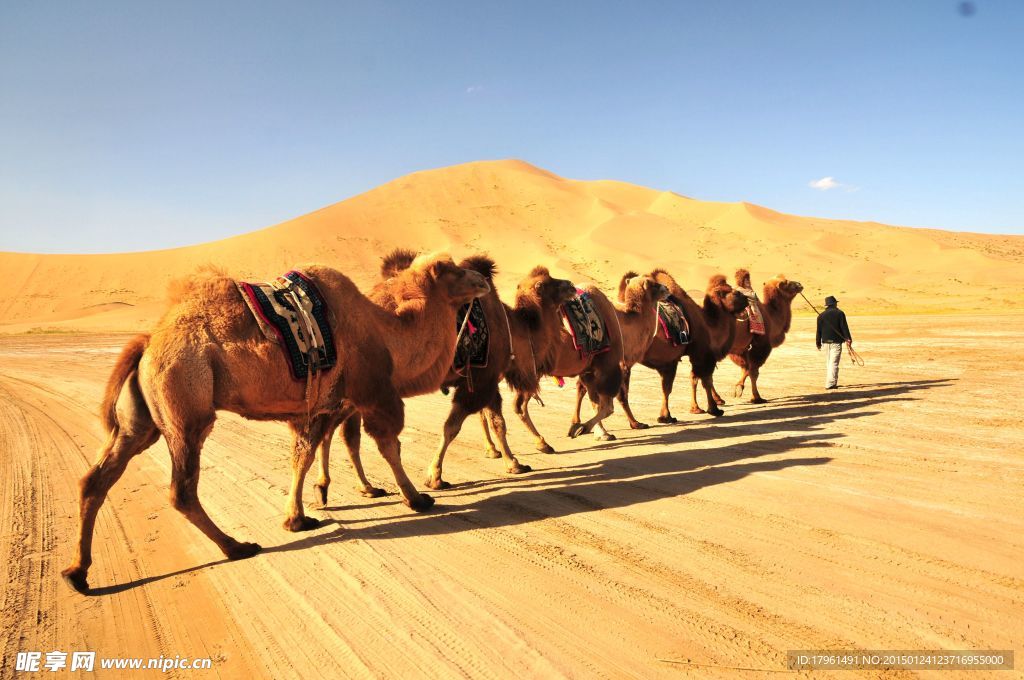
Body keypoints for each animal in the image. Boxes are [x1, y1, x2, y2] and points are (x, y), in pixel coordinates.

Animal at [61, 255, 489, 593]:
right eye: (452, 269)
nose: (484, 280)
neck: (388, 335)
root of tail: (148, 342)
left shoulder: (318, 407)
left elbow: (304, 456)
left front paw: (297, 516)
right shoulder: (373, 393)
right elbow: (388, 446)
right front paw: (417, 498)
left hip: (141, 421)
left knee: (96, 479)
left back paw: (78, 574)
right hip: (185, 405)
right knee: (181, 489)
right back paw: (236, 547)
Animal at [315, 251, 577, 497]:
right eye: (545, 284)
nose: (571, 285)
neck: (513, 329)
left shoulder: (484, 379)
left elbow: (492, 421)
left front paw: (508, 458)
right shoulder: (484, 379)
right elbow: (459, 426)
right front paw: (436, 476)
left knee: (342, 433)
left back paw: (360, 487)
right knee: (336, 430)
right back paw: (338, 486)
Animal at [573, 270, 667, 430]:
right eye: (654, 284)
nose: (666, 288)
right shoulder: (623, 363)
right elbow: (622, 395)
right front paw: (636, 423)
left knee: (581, 387)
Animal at [610, 270, 749, 426]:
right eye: (735, 292)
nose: (748, 298)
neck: (707, 324)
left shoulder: (672, 360)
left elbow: (682, 382)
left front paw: (690, 410)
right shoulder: (701, 353)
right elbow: (705, 380)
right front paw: (714, 409)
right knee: (621, 393)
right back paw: (635, 423)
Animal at [724, 266, 802, 403]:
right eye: (787, 282)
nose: (799, 284)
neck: (771, 316)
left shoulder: (741, 349)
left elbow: (745, 368)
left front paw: (739, 389)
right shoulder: (760, 346)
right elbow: (753, 372)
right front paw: (756, 397)